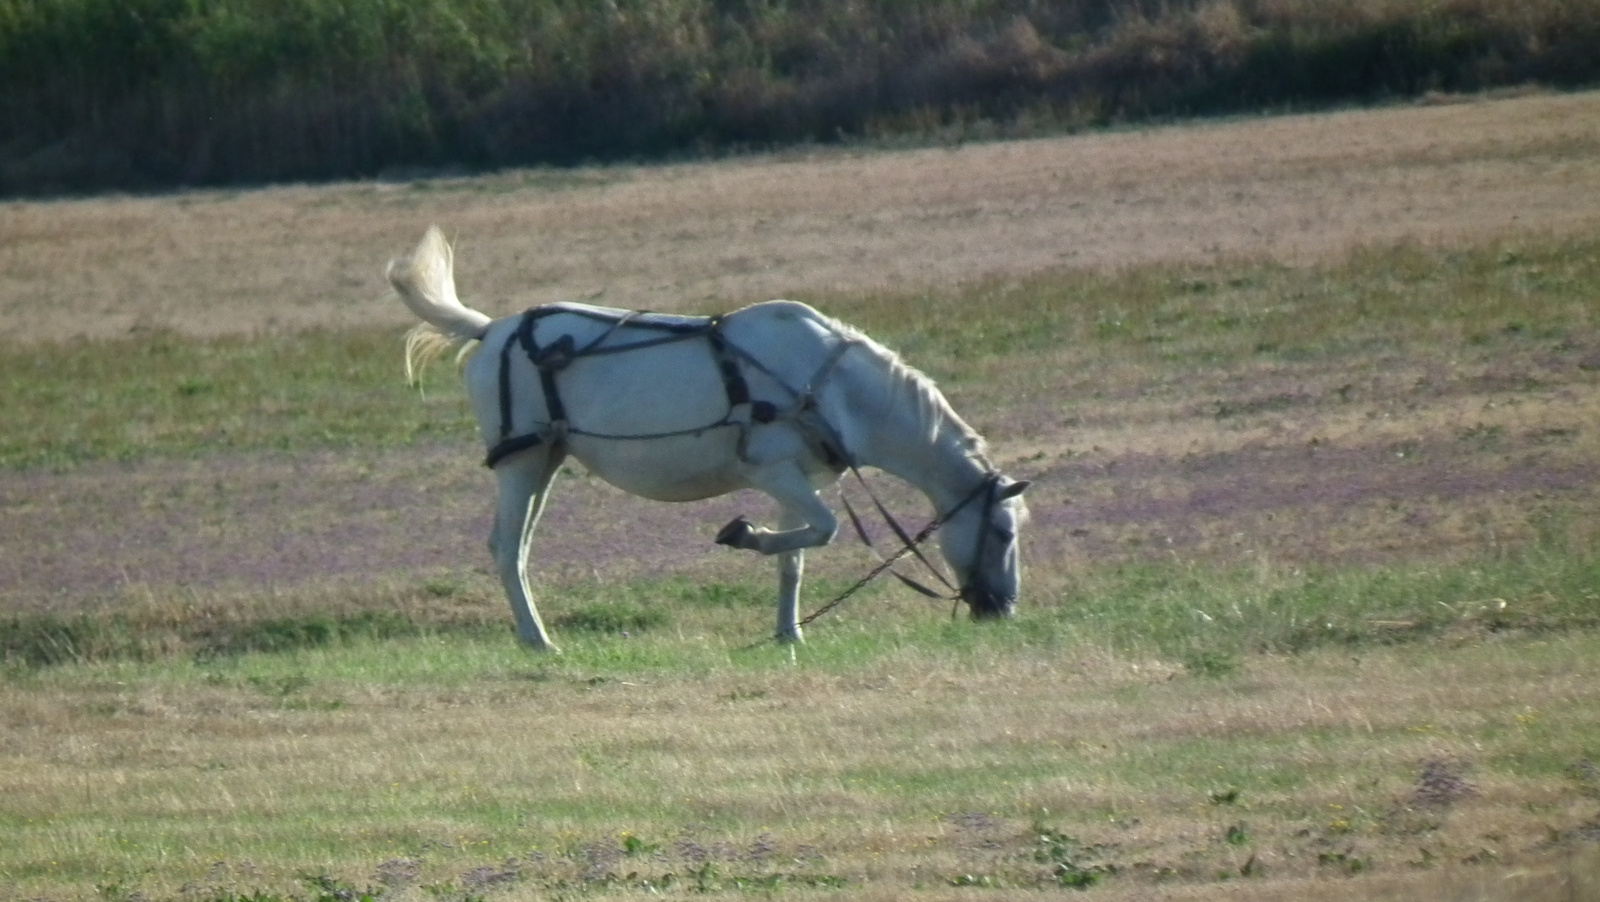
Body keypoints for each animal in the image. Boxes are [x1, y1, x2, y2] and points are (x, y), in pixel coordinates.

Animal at [393, 223, 1030, 649]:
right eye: (1001, 531)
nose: (1002, 609)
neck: (831, 384)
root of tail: (490, 331)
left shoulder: (797, 480)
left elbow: (797, 556)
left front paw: (788, 633)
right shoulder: (772, 471)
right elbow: (823, 531)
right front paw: (742, 534)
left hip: (547, 458)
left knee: (519, 547)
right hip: (519, 464)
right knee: (505, 548)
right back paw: (538, 641)